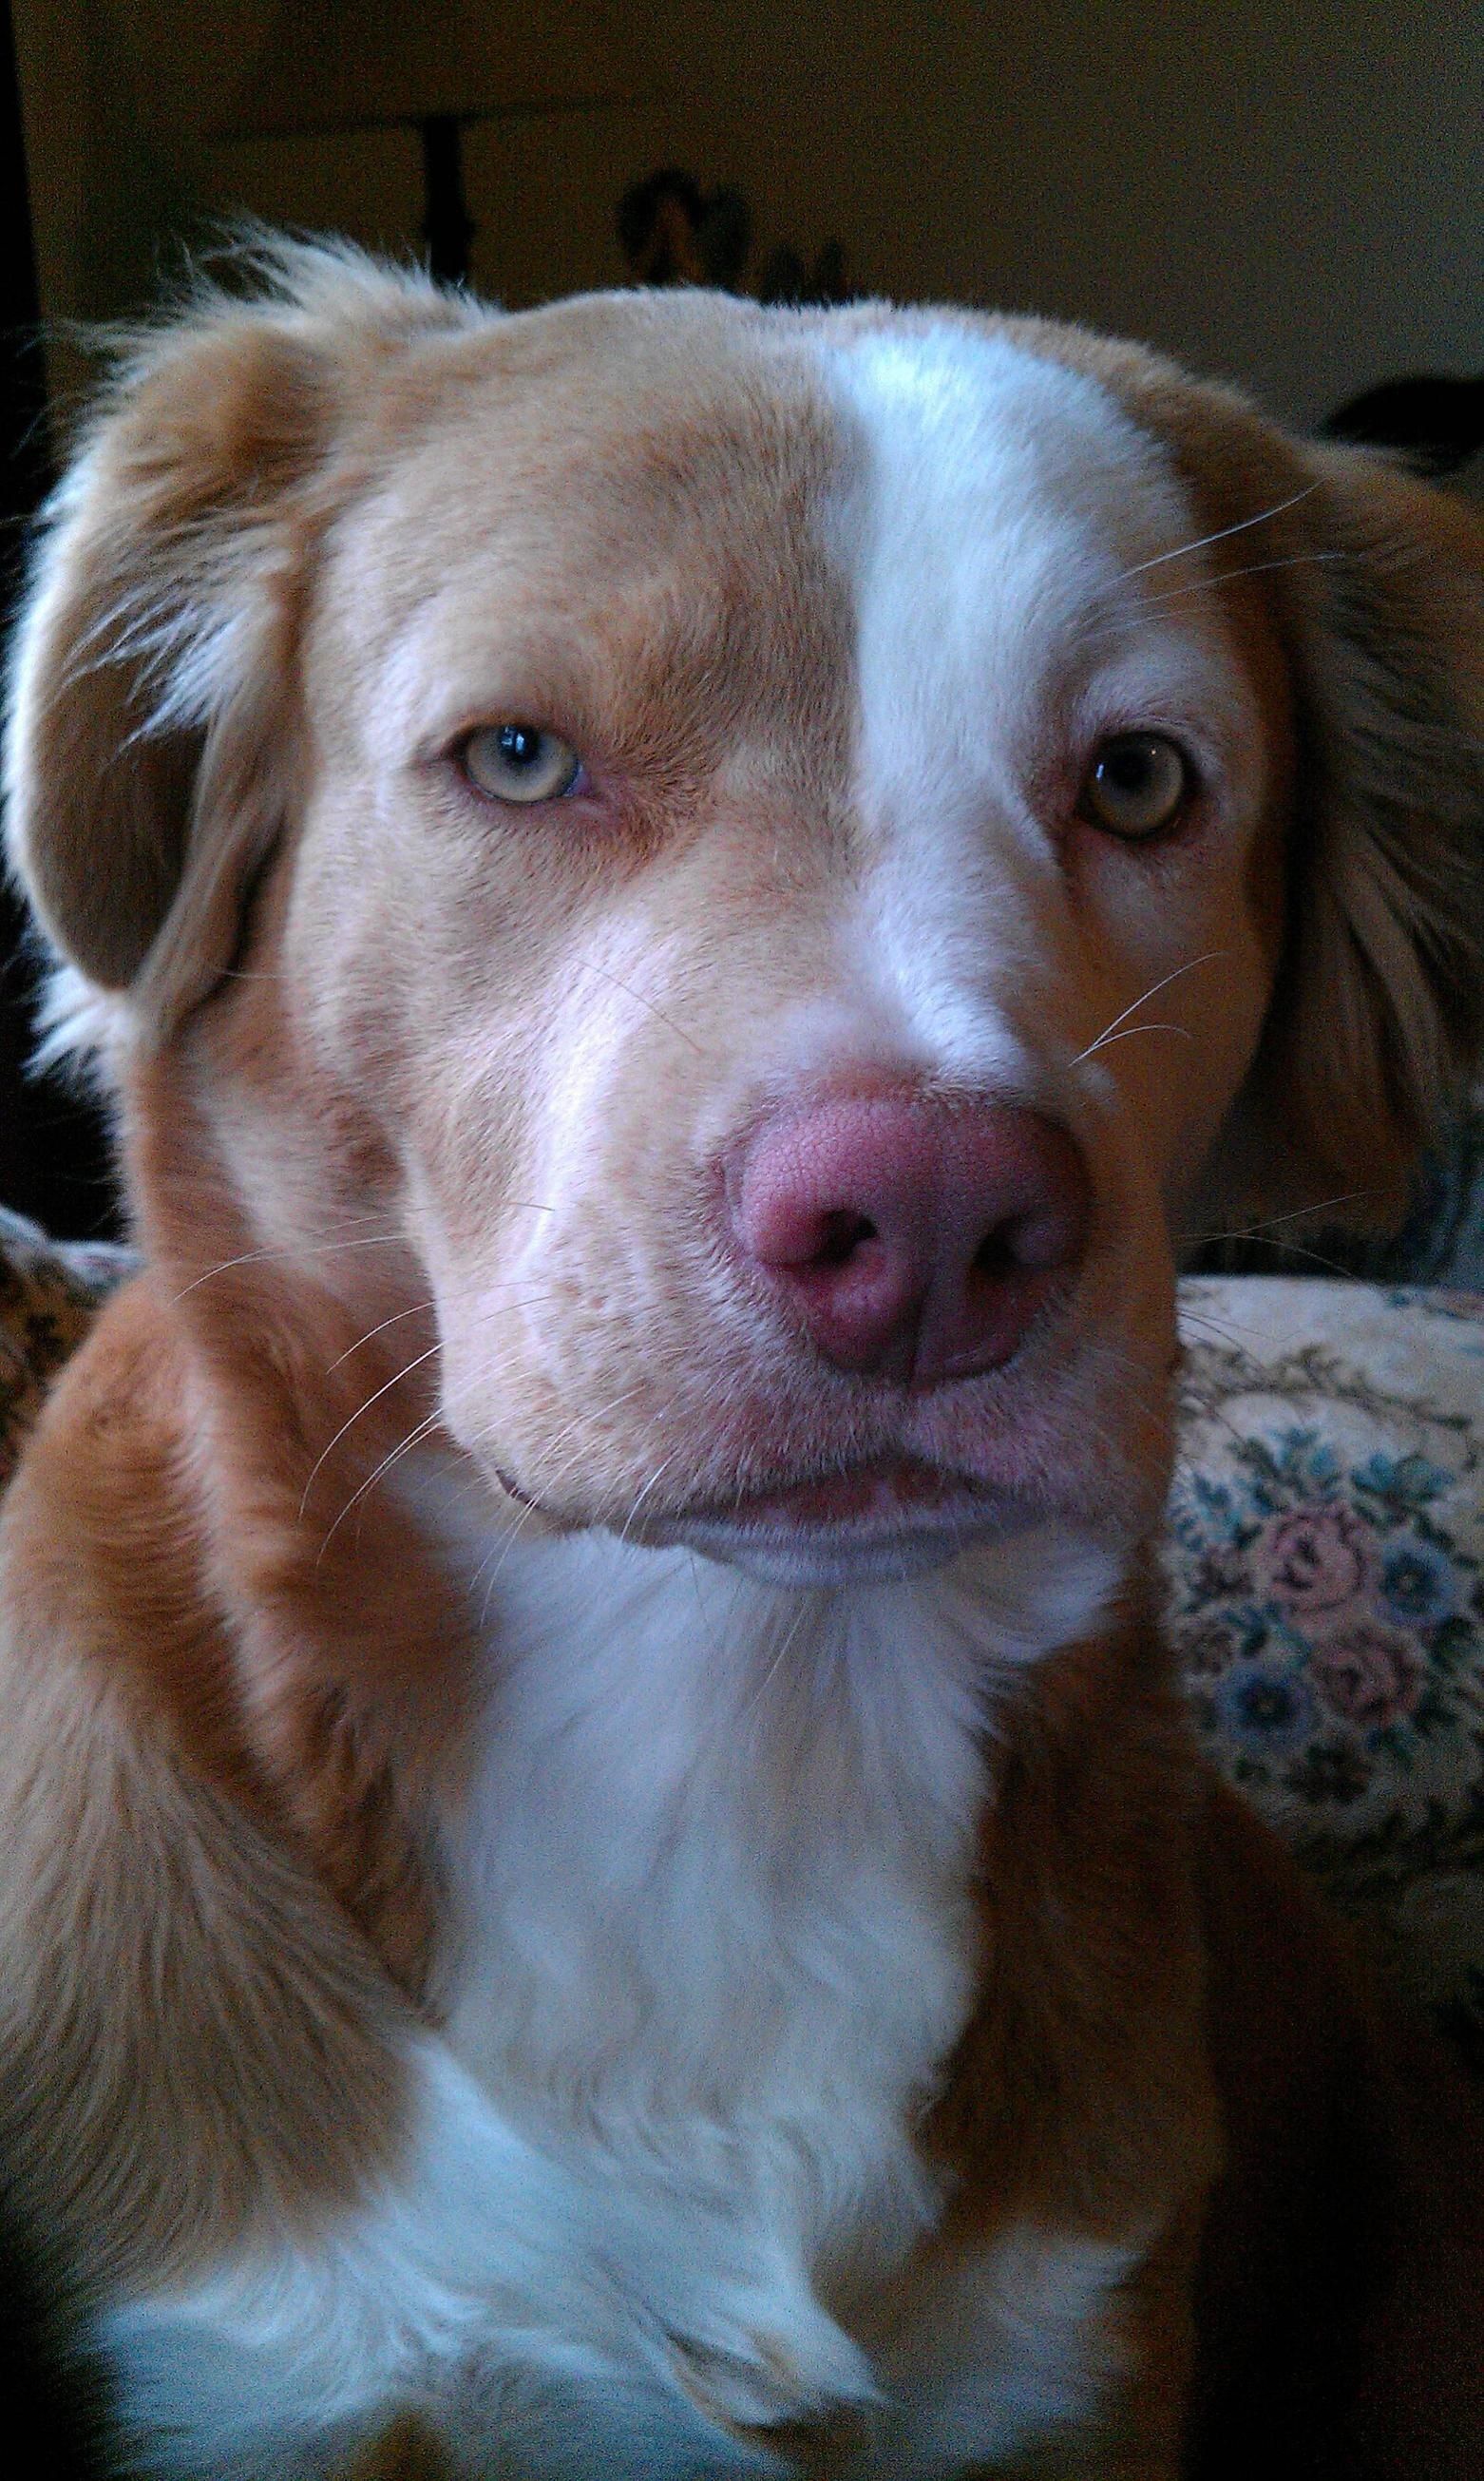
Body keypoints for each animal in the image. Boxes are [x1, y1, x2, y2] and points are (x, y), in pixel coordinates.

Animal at [3, 237, 1484, 2481]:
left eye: (1138, 779)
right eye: (520, 757)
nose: (935, 1224)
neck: (730, 1731)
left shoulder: (1075, 2362)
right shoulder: (258, 2383)